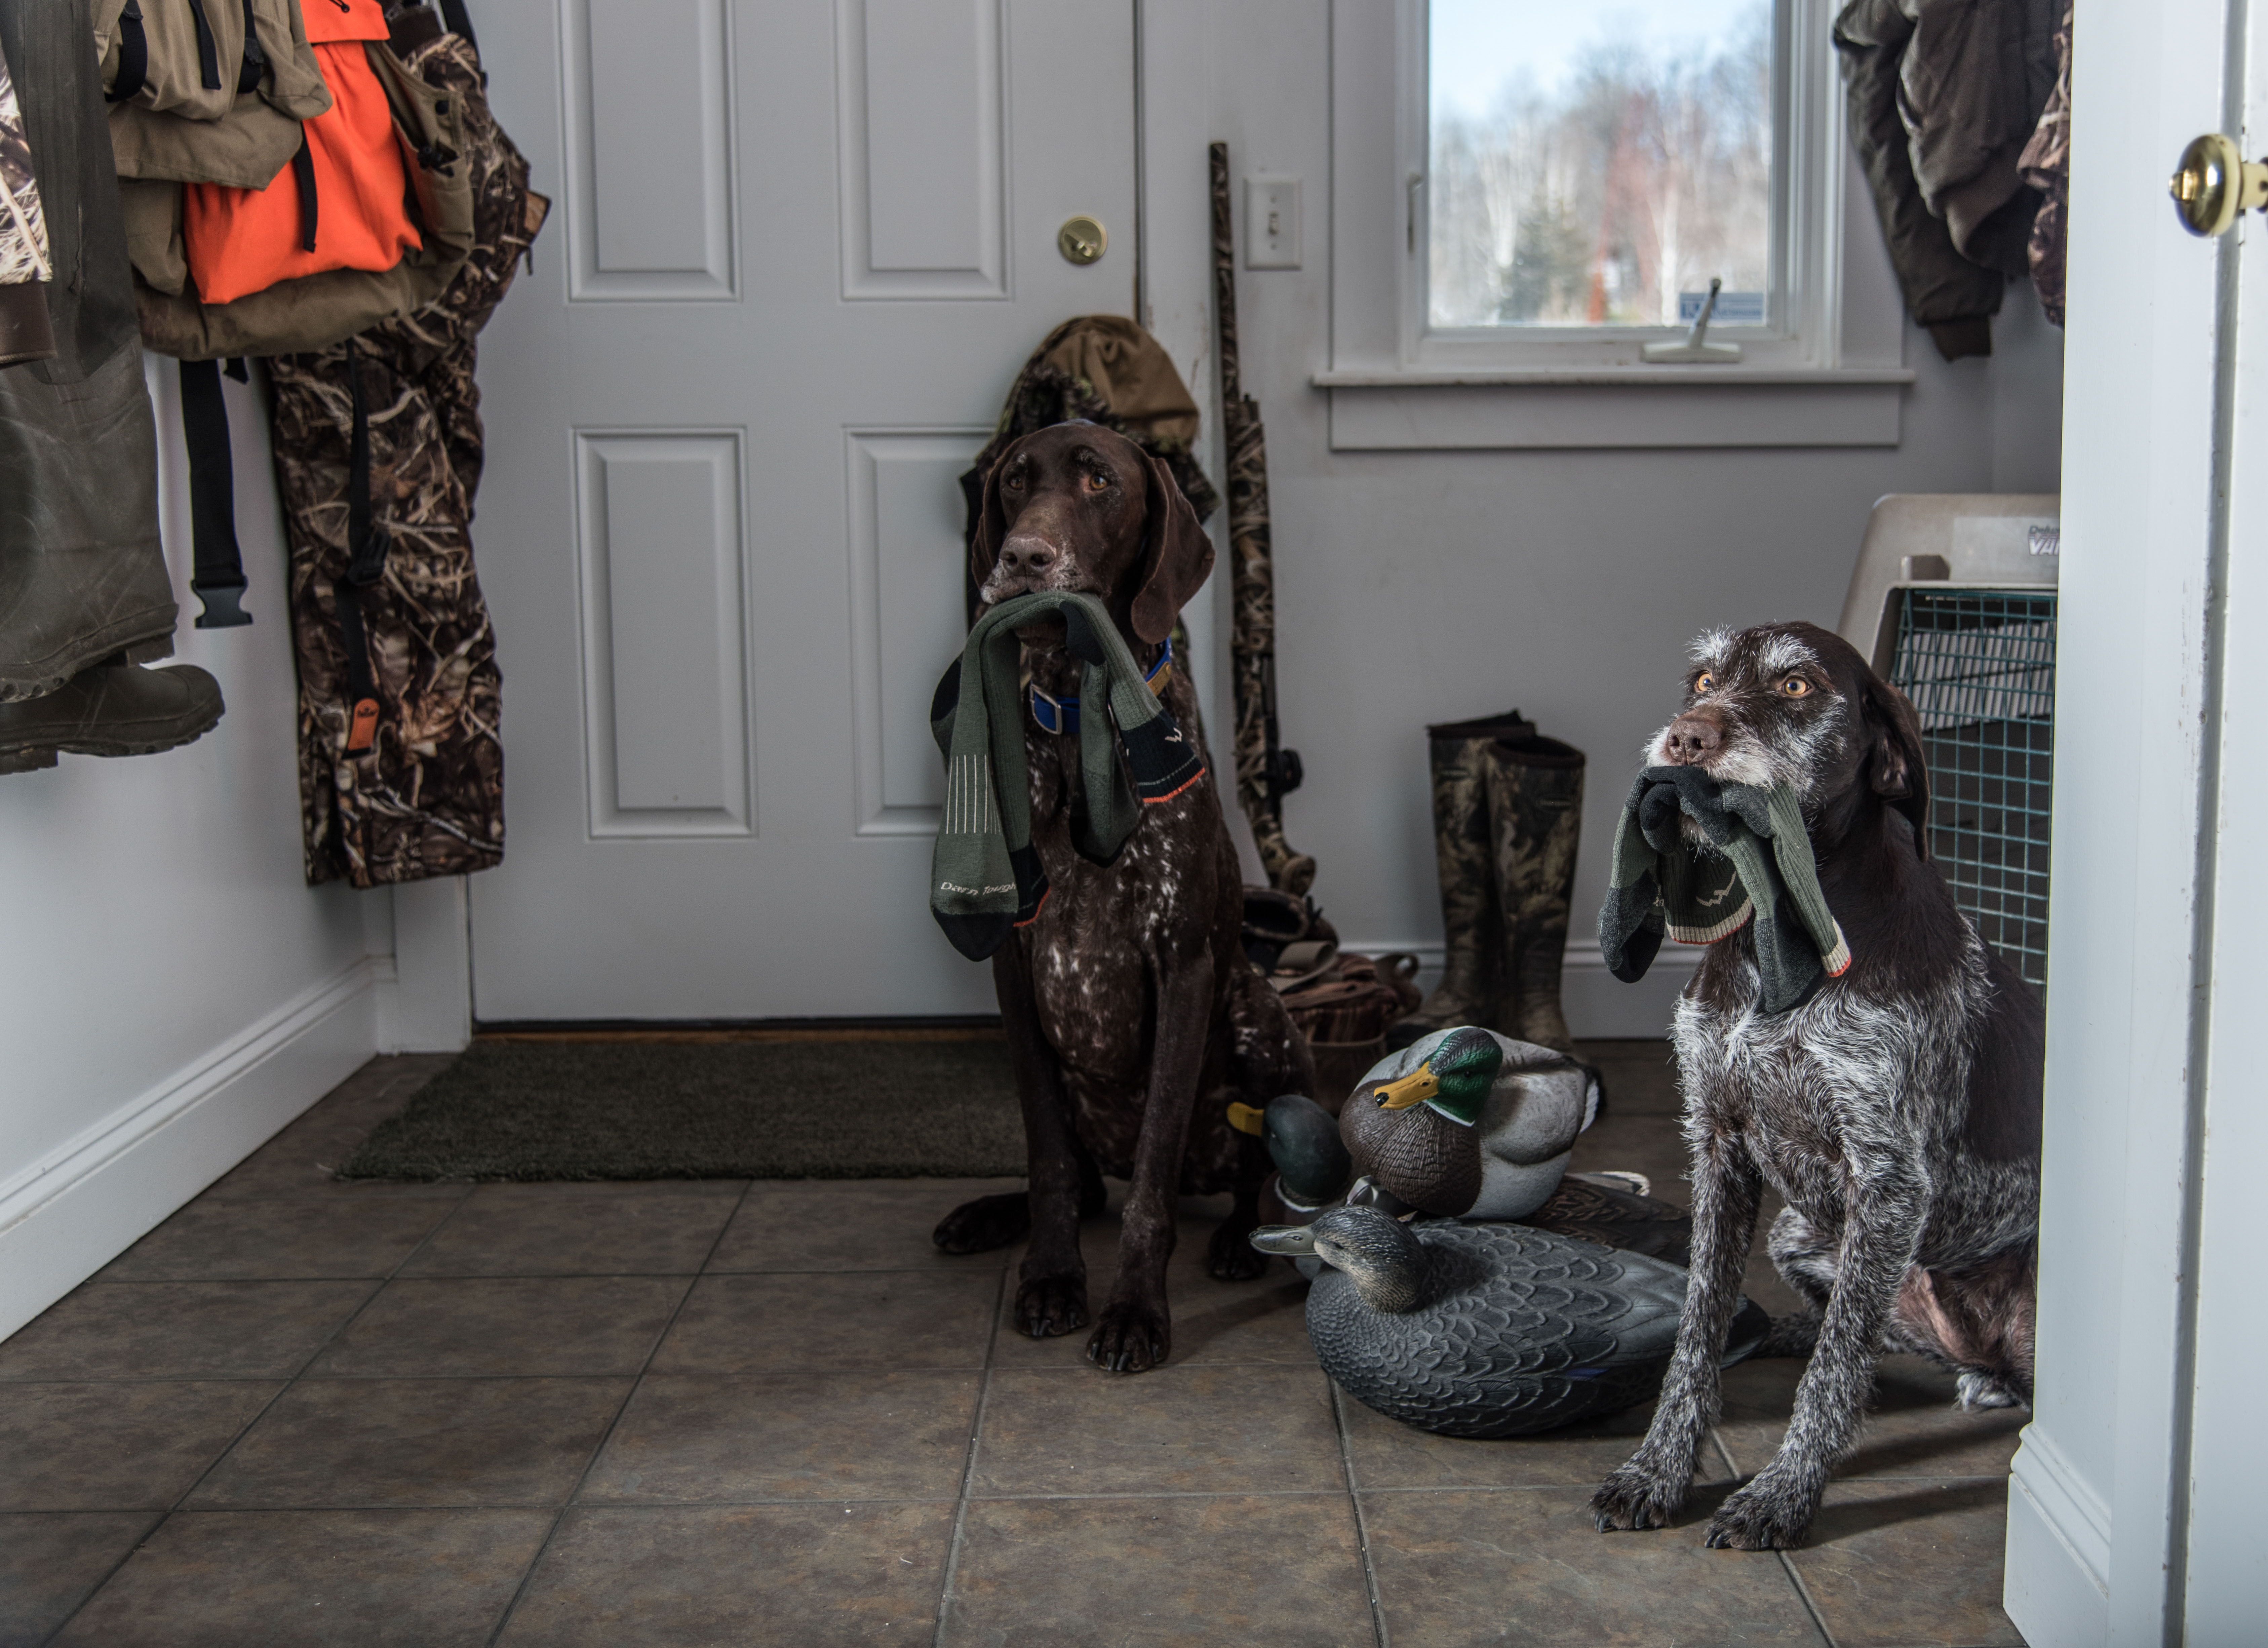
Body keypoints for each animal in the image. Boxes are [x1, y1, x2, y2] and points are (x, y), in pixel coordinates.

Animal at [932, 421, 1314, 1373]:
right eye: (1014, 482)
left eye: (1099, 482)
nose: (1023, 557)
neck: (1079, 720)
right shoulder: (1015, 973)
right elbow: (1050, 1163)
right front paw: (1051, 1276)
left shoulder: (1185, 967)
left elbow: (1148, 1187)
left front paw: (1136, 1309)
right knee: (1085, 1177)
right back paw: (985, 1216)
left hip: (1262, 1024)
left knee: (1250, 1176)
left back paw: (1237, 1240)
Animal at [1591, 621, 2043, 1549]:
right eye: (1700, 680)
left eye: (1795, 686)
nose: (1685, 740)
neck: (1776, 936)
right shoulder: (1718, 1146)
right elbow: (1696, 1332)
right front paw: (1658, 1470)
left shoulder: (1890, 1181)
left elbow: (1835, 1376)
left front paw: (1783, 1495)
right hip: (1801, 1232)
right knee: (1861, 1332)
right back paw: (1788, 1330)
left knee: (1873, 1351)